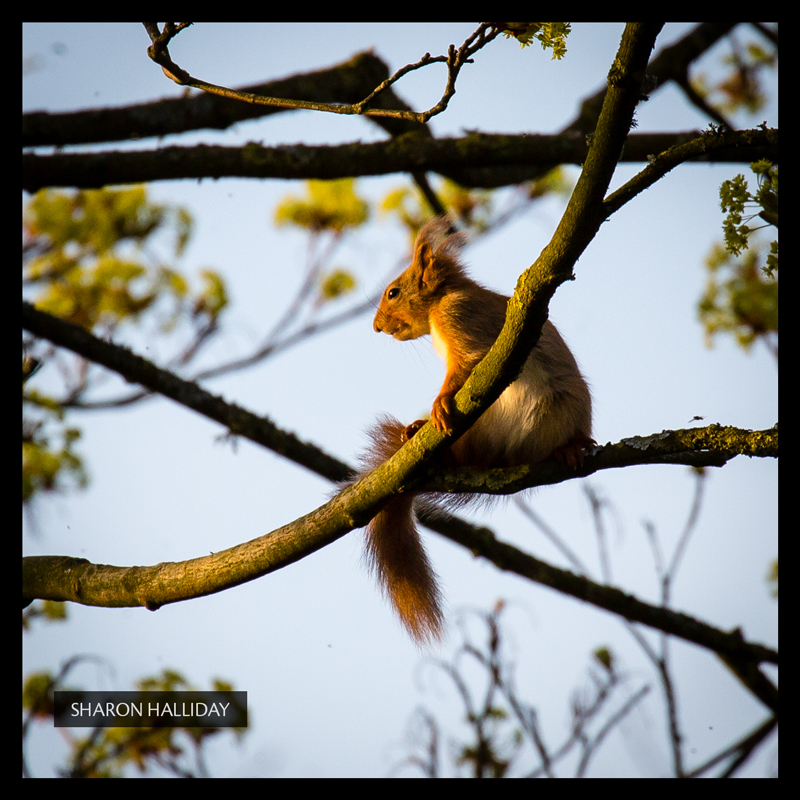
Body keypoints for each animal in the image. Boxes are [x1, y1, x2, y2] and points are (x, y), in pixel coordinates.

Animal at [362, 217, 592, 644]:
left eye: (393, 292)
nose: (376, 327)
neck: (442, 301)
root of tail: (506, 456)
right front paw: (422, 421)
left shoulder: (462, 320)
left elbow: (466, 366)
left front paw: (438, 402)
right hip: (478, 432)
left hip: (569, 405)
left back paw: (571, 446)